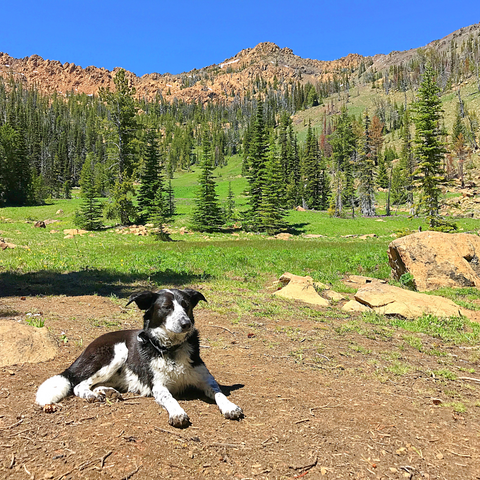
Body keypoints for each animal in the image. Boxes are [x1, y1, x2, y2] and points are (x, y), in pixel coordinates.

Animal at [35, 288, 242, 428]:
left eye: (186, 306)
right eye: (166, 308)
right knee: (79, 384)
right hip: (117, 351)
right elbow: (170, 398)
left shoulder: (206, 379)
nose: (186, 324)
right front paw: (177, 412)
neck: (172, 349)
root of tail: (87, 349)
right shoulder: (159, 387)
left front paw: (230, 407)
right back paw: (92, 395)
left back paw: (107, 392)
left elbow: (219, 393)